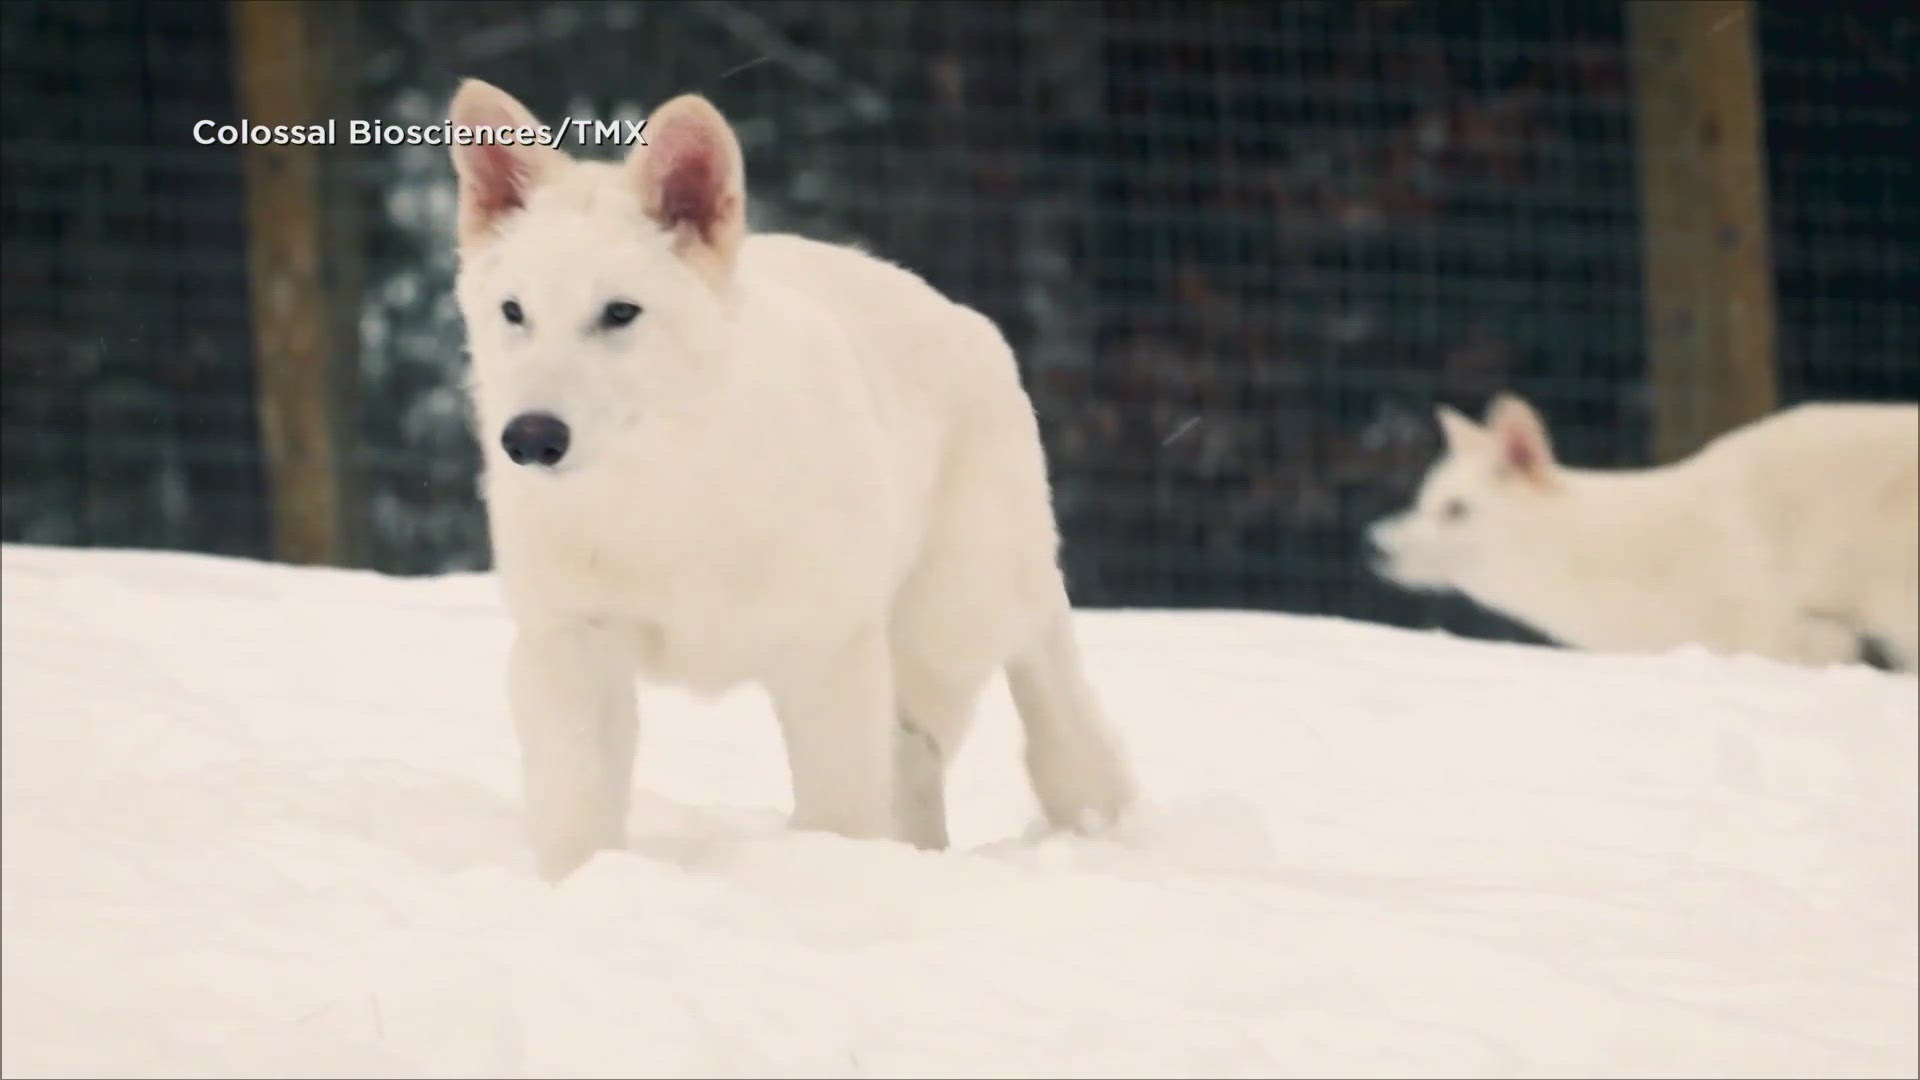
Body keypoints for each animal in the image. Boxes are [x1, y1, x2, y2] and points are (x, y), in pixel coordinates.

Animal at [444, 80, 1137, 881]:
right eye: (514, 313)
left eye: (620, 313)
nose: (530, 439)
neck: (666, 493)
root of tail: (962, 315)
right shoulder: (570, 649)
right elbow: (577, 818)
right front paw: (584, 888)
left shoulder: (826, 657)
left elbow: (838, 816)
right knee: (916, 755)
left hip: (962, 616)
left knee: (1037, 684)